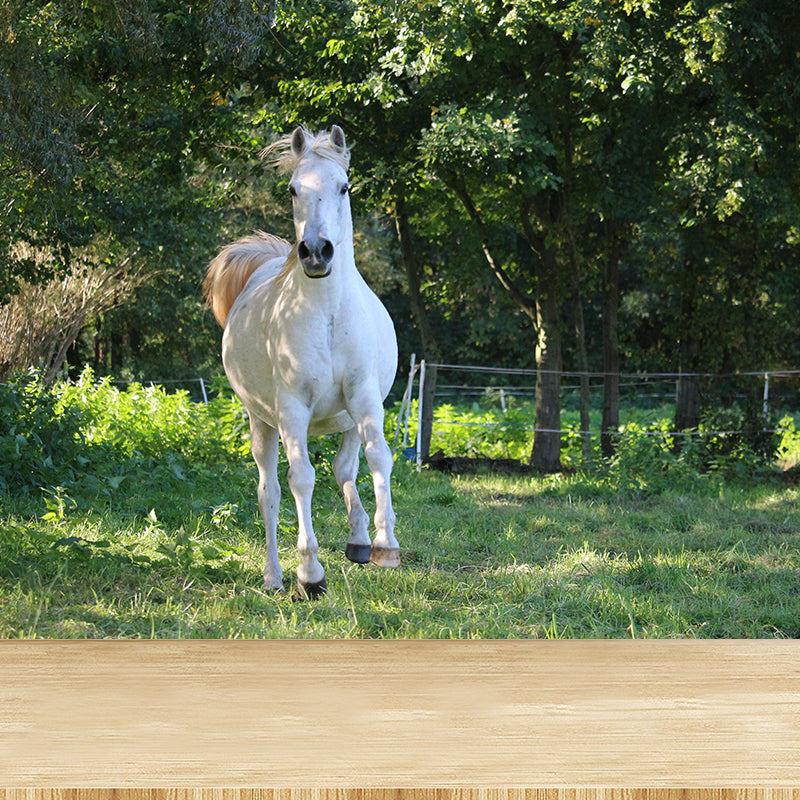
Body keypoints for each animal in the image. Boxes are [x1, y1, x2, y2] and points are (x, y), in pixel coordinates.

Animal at [204, 125, 399, 598]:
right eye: (293, 189)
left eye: (344, 186)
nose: (315, 251)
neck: (327, 314)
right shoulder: (293, 409)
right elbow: (301, 479)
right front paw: (310, 573)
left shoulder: (364, 396)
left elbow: (378, 457)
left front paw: (385, 544)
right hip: (262, 423)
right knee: (270, 492)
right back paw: (275, 576)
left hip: (345, 420)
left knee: (346, 468)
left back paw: (359, 540)